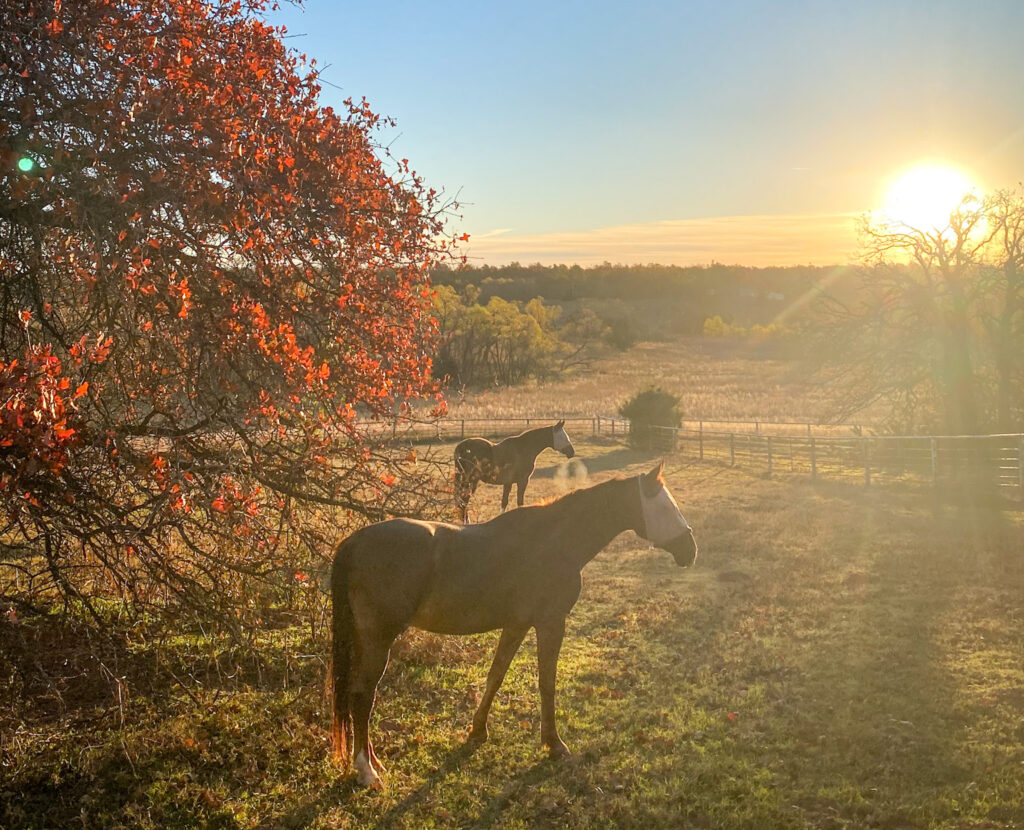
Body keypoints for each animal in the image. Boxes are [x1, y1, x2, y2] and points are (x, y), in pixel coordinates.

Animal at [330, 460, 697, 788]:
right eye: (665, 508)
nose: (690, 551)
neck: (554, 540)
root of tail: (354, 543)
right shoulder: (550, 623)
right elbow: (546, 683)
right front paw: (554, 744)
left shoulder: (517, 625)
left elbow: (495, 676)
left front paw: (478, 730)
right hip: (378, 640)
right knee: (363, 695)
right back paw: (367, 771)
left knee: (360, 696)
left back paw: (373, 761)